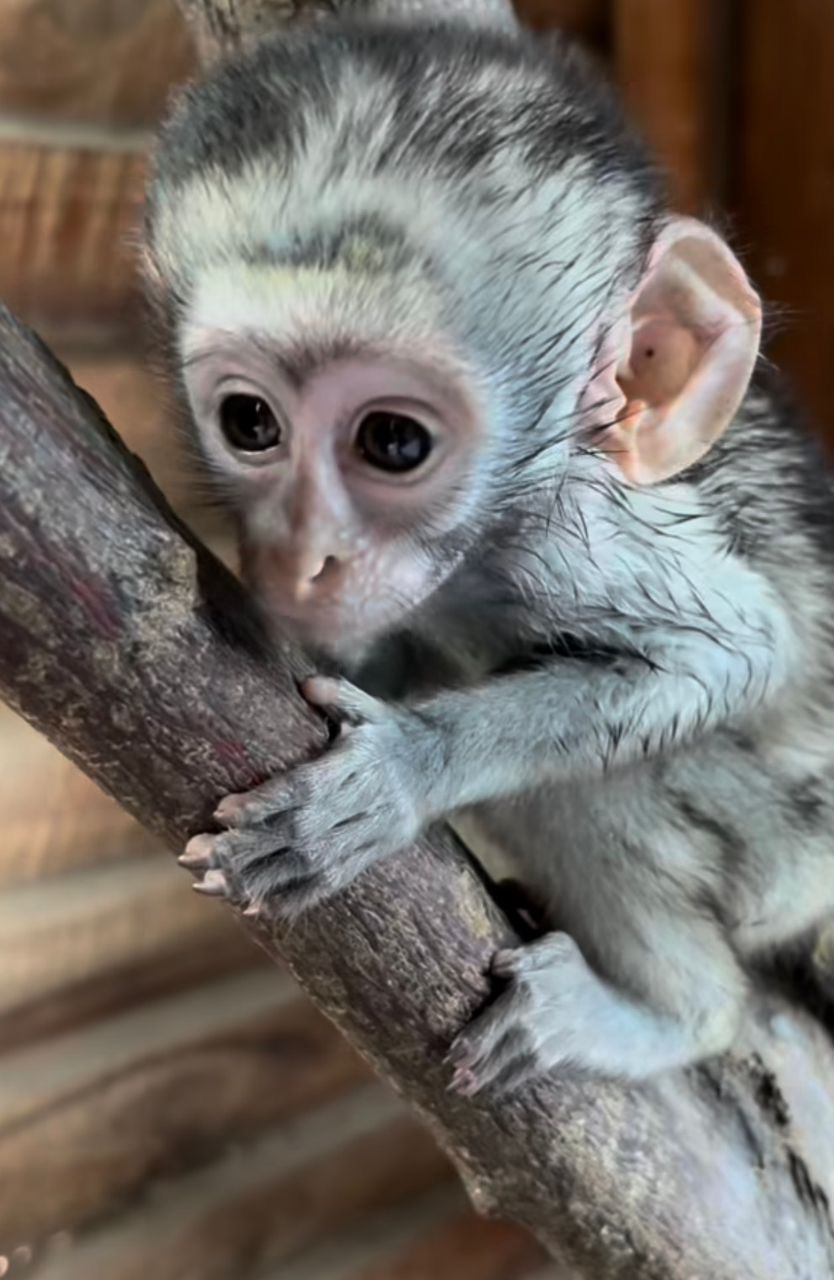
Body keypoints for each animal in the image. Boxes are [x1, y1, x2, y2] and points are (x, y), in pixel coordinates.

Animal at [142, 13, 834, 1092]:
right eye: (250, 422)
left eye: (394, 441)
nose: (303, 552)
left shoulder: (578, 539)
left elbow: (732, 655)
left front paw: (402, 772)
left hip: (781, 845)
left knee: (591, 787)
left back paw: (670, 1011)